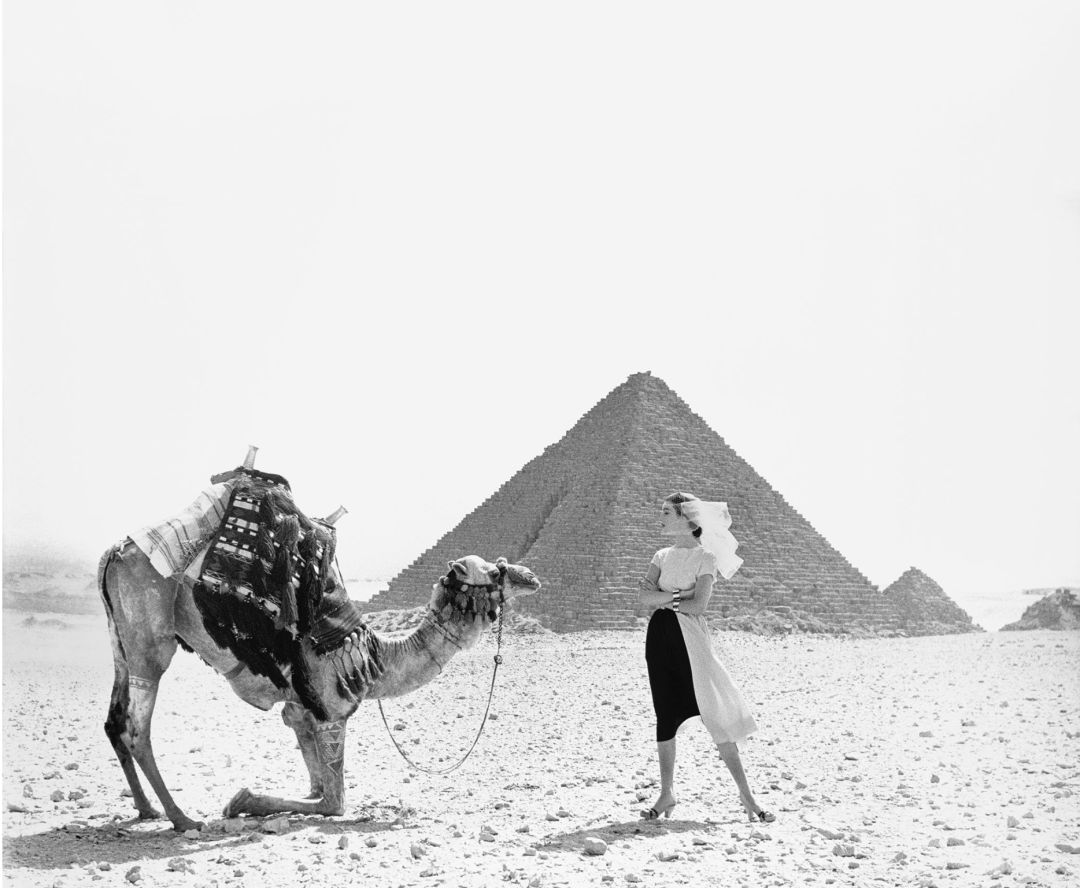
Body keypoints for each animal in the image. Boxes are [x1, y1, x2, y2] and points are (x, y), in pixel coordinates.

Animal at [98, 537, 541, 832]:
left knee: (114, 720)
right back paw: (181, 818)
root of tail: (114, 552)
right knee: (137, 727)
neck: (376, 658)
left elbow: (312, 783)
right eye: (497, 571)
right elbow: (332, 802)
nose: (532, 576)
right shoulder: (332, 711)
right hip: (150, 637)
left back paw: (147, 809)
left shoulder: (301, 708)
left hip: (120, 642)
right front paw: (241, 801)